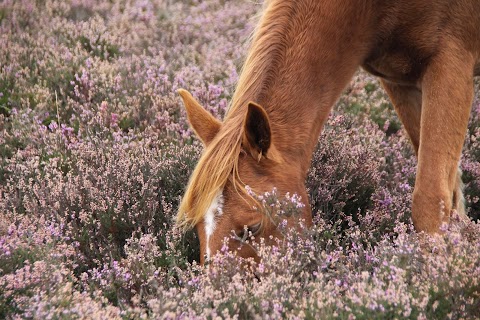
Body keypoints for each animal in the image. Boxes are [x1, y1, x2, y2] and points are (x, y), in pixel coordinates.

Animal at [176, 0, 480, 264]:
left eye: (251, 227)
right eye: (199, 228)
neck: (371, 9)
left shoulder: (450, 63)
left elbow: (430, 201)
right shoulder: (400, 80)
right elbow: (451, 197)